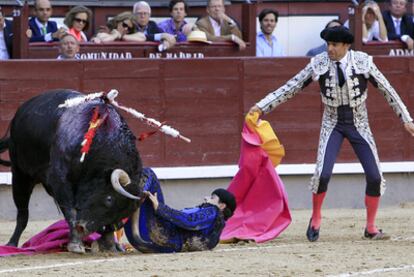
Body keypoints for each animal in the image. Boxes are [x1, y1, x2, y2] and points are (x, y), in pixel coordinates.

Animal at [0, 90, 145, 252]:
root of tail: (21, 110)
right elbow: (71, 211)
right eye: (109, 199)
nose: (83, 228)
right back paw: (11, 244)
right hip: (20, 175)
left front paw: (109, 245)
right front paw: (76, 243)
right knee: (22, 213)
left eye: (124, 212)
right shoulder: (60, 180)